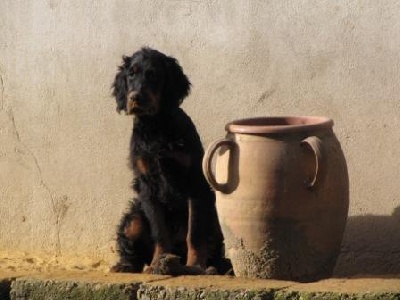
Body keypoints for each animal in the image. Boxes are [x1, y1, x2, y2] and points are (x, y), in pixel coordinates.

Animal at [111, 47, 228, 274]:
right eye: (131, 74)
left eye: (154, 75)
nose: (135, 97)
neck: (156, 126)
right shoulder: (147, 185)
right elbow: (159, 230)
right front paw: (159, 262)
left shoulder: (194, 183)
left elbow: (195, 232)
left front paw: (196, 265)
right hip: (135, 216)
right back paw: (125, 265)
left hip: (213, 217)